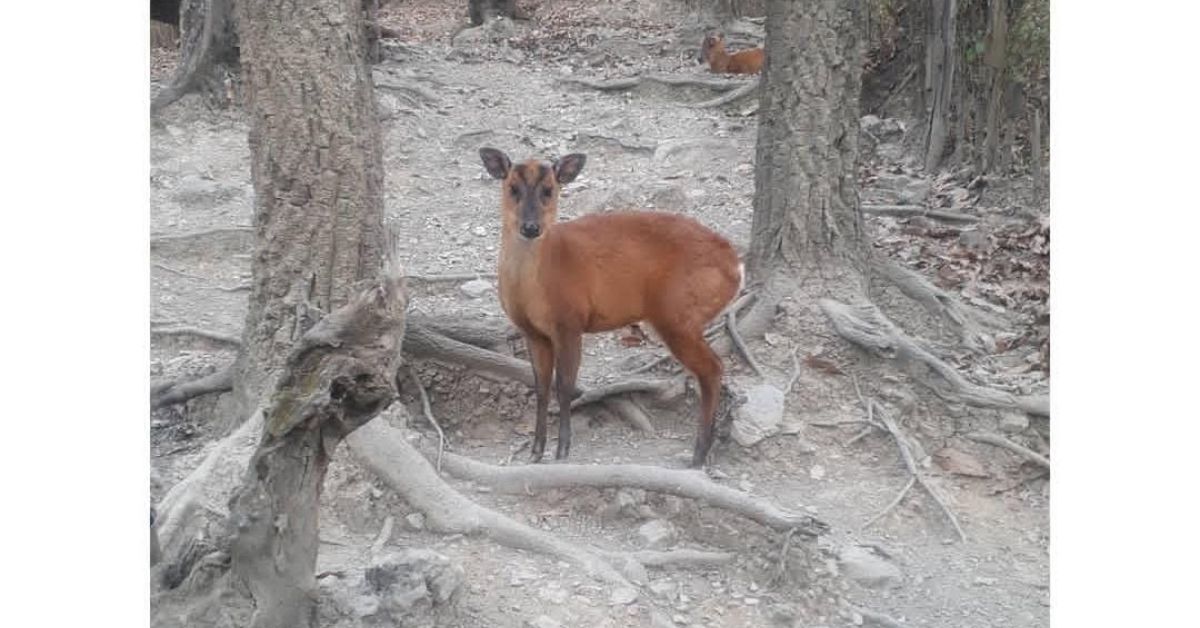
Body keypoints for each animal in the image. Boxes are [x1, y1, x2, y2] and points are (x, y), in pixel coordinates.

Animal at [475, 150, 739, 468]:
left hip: (678, 314)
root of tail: (736, 266)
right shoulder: (532, 332)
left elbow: (565, 385)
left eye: (549, 190)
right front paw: (536, 451)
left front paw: (562, 450)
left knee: (713, 368)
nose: (531, 227)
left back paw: (698, 455)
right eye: (512, 187)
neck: (537, 287)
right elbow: (540, 387)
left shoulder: (570, 322)